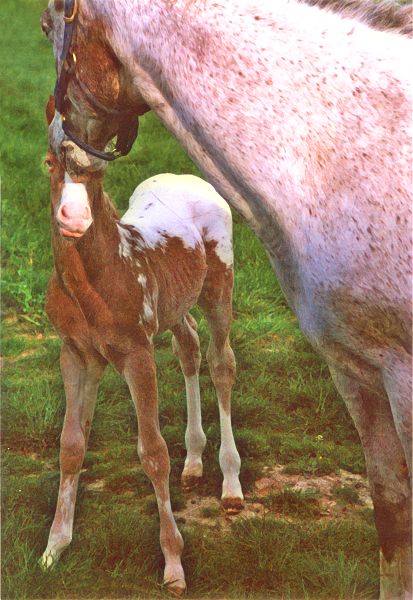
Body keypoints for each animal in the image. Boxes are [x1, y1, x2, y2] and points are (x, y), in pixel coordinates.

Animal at [39, 143, 241, 592]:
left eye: (99, 173)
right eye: (49, 164)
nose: (73, 219)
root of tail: (190, 178)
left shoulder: (137, 353)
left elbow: (153, 452)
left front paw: (174, 566)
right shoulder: (77, 353)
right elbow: (71, 445)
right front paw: (53, 548)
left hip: (219, 285)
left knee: (221, 361)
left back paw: (231, 486)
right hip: (174, 305)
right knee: (189, 345)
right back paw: (194, 463)